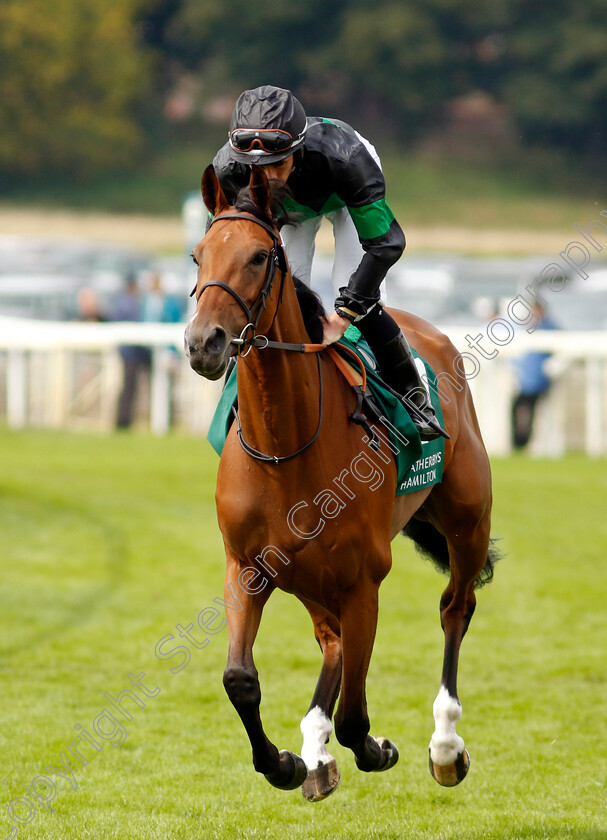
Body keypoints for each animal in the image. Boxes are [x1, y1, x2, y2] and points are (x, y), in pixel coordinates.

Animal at [186, 164, 498, 800]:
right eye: (197, 254)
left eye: (259, 256)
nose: (203, 343)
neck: (287, 447)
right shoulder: (247, 566)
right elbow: (239, 678)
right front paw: (284, 762)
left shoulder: (364, 581)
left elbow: (357, 717)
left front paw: (376, 748)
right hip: (308, 573)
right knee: (330, 640)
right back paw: (315, 749)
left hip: (466, 520)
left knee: (456, 607)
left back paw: (445, 744)